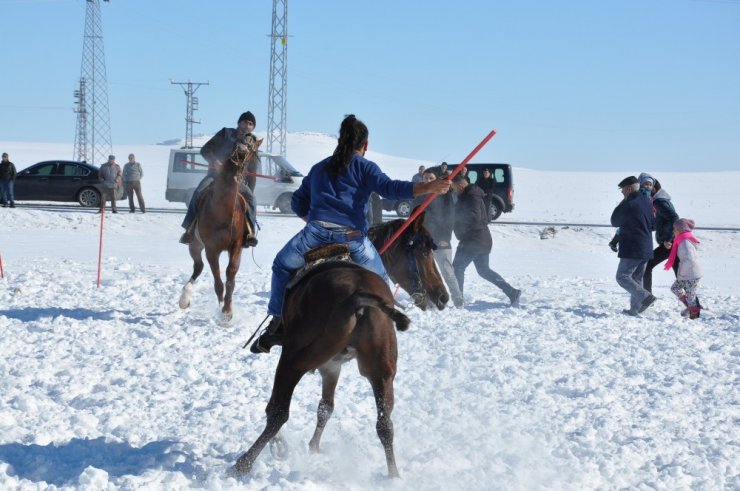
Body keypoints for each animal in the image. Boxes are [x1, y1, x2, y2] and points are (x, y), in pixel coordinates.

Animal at [234, 215, 448, 480]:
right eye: (424, 251)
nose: (443, 296)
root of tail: (357, 297)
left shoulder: (320, 364)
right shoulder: (332, 367)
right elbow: (326, 408)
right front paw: (314, 448)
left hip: (293, 360)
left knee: (277, 411)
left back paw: (245, 462)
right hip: (381, 371)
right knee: (384, 424)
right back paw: (394, 476)